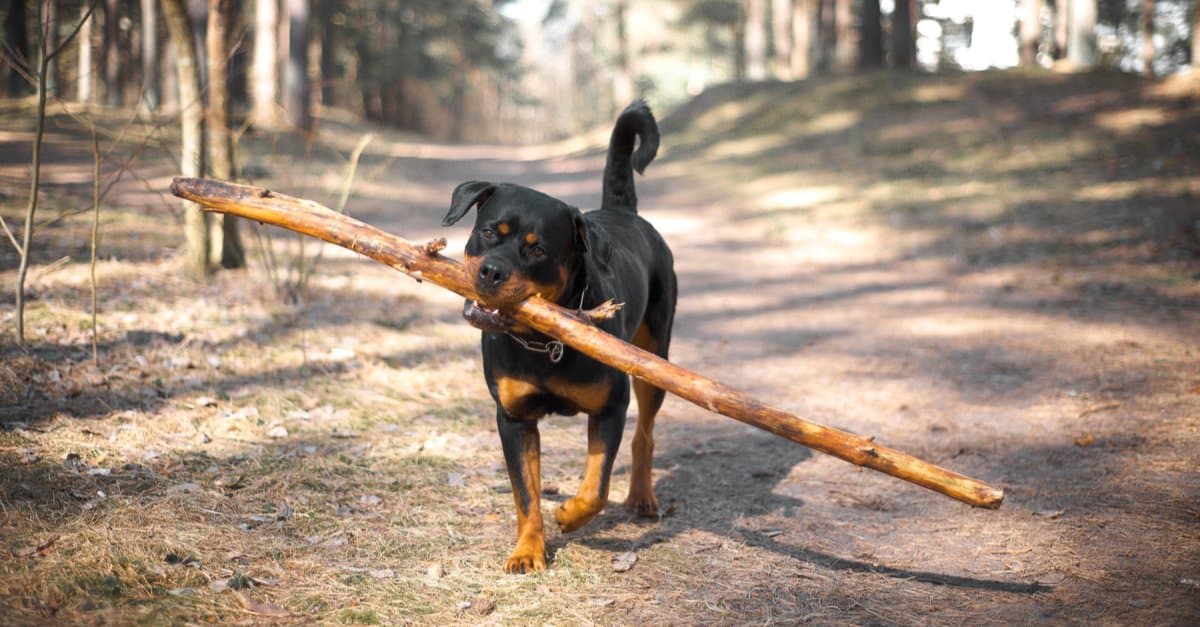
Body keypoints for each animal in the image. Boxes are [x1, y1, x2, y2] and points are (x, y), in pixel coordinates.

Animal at [446, 99, 681, 571]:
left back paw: (642, 496)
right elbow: (526, 494)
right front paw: (527, 551)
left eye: (537, 249)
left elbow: (596, 488)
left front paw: (570, 514)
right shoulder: (514, 419)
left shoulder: (610, 408)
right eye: (488, 231)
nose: (491, 271)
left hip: (653, 361)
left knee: (645, 434)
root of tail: (626, 214)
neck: (540, 341)